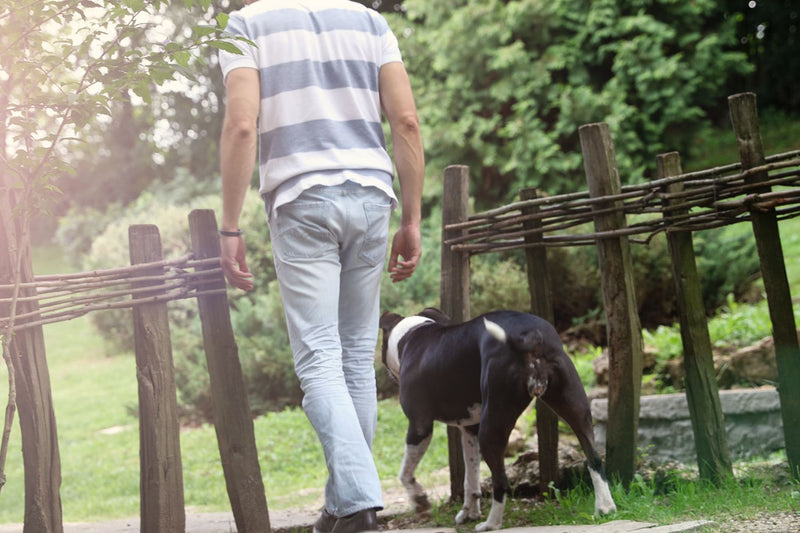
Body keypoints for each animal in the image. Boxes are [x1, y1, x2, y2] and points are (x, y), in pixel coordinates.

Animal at [378, 306, 616, 528]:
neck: (411, 334)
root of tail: (530, 337)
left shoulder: (419, 425)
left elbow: (405, 473)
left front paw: (420, 502)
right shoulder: (469, 429)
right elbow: (471, 478)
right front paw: (469, 512)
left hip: (492, 423)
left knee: (501, 481)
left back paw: (491, 524)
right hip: (576, 408)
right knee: (594, 458)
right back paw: (605, 508)